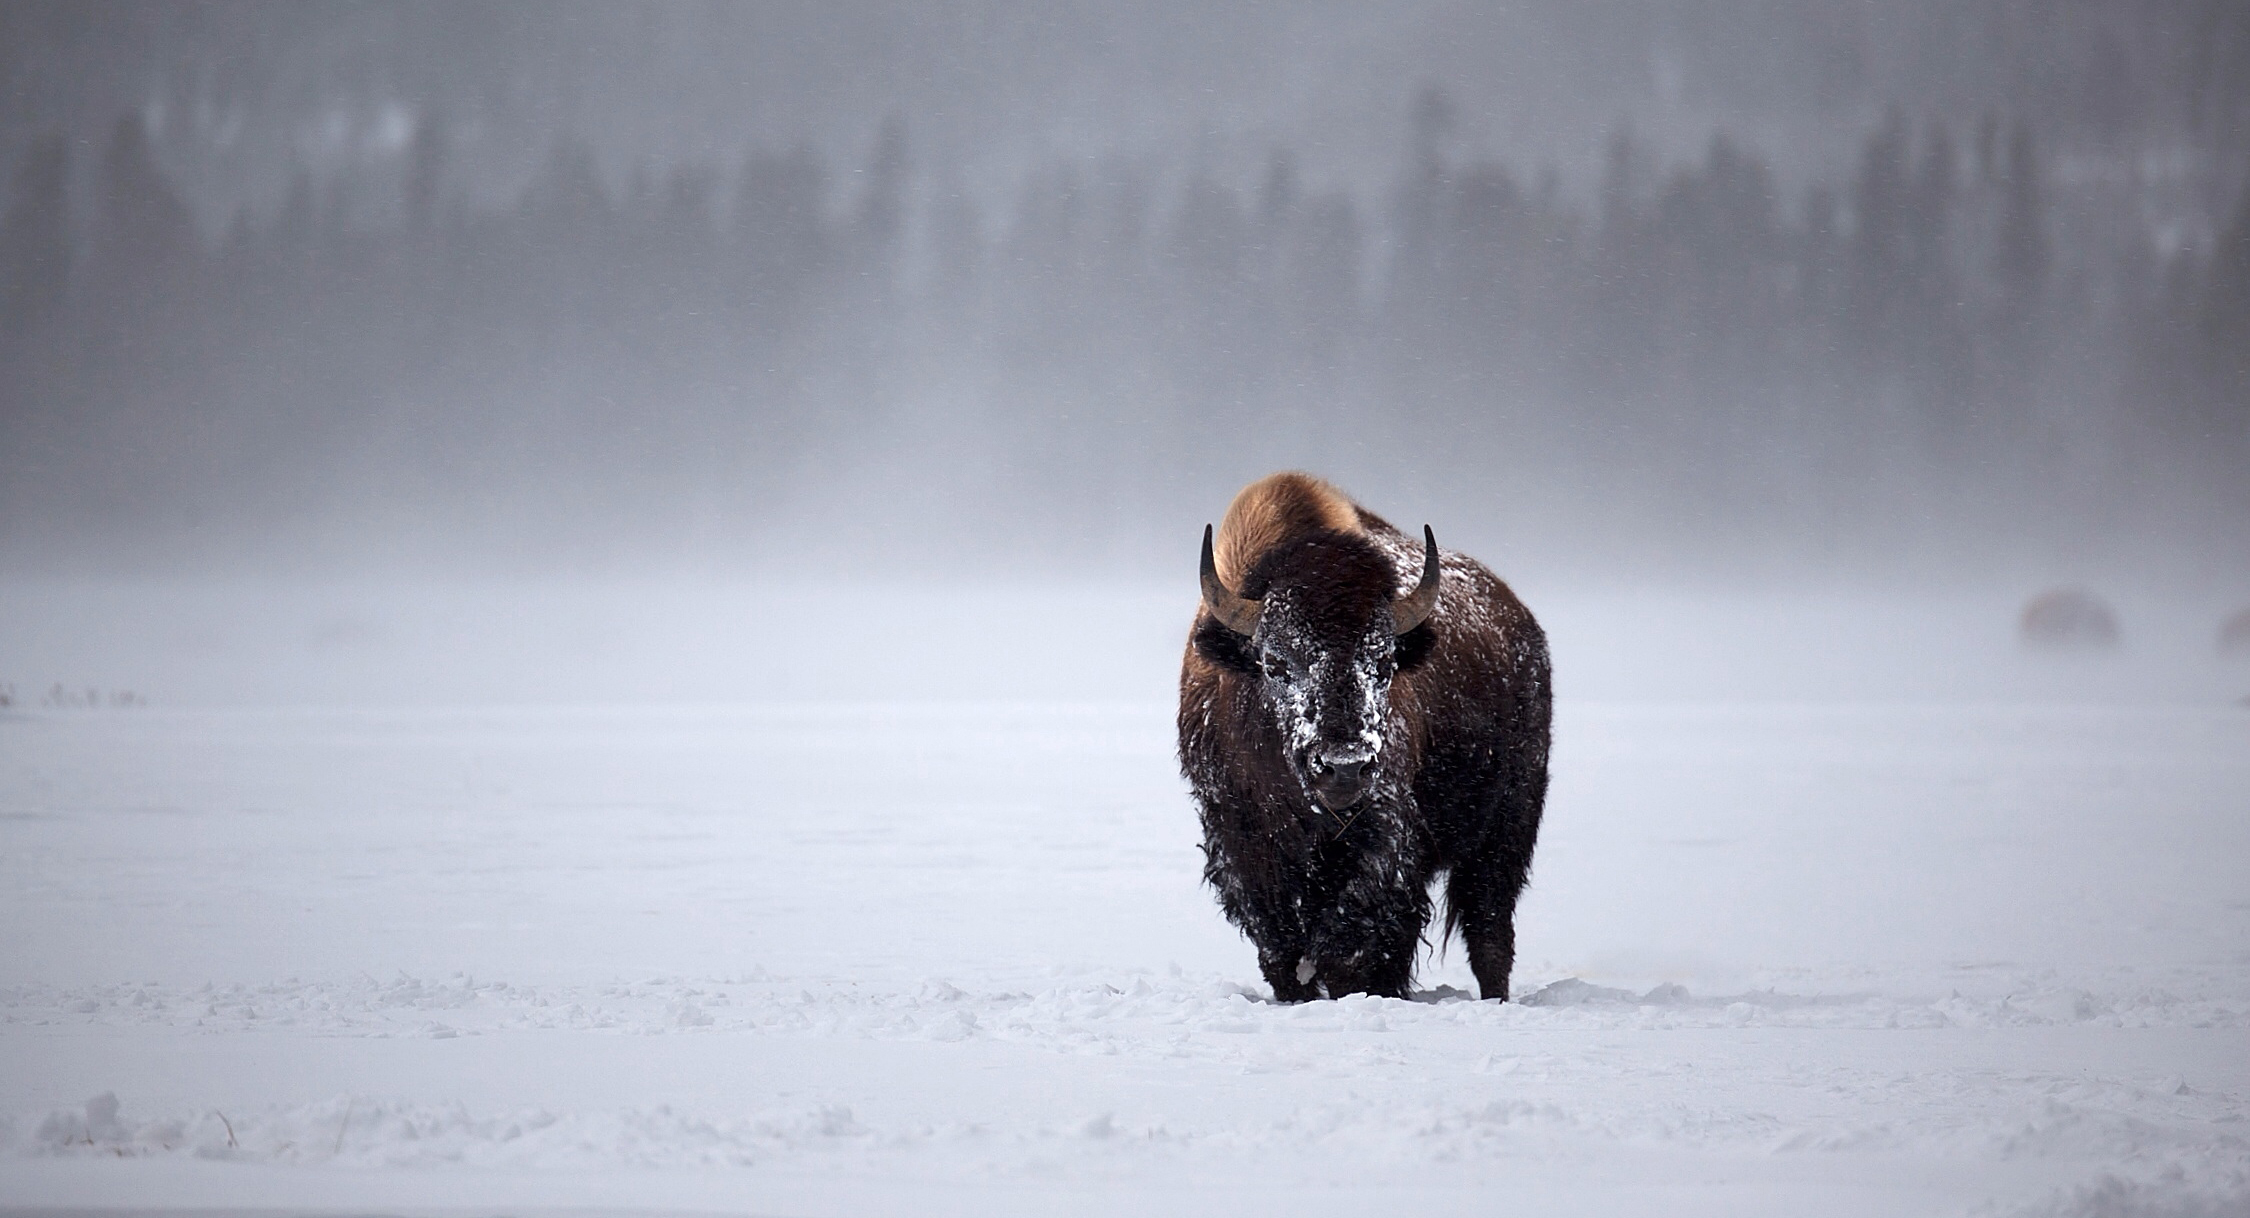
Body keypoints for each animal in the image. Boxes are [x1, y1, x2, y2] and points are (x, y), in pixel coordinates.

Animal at [1179, 470, 1548, 1004]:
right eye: (1275, 663)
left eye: (1385, 661)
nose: (1345, 766)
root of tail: (1521, 621)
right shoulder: (1240, 839)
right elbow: (1281, 949)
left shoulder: (1384, 837)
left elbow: (1351, 944)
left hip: (1506, 825)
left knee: (1488, 929)